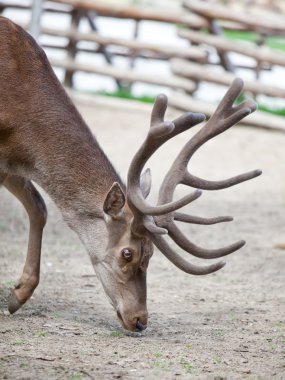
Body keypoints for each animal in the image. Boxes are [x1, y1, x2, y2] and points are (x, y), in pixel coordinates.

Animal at [0, 17, 260, 332]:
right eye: (127, 252)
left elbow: (39, 208)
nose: (140, 320)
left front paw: (18, 295)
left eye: (151, 253)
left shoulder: (11, 163)